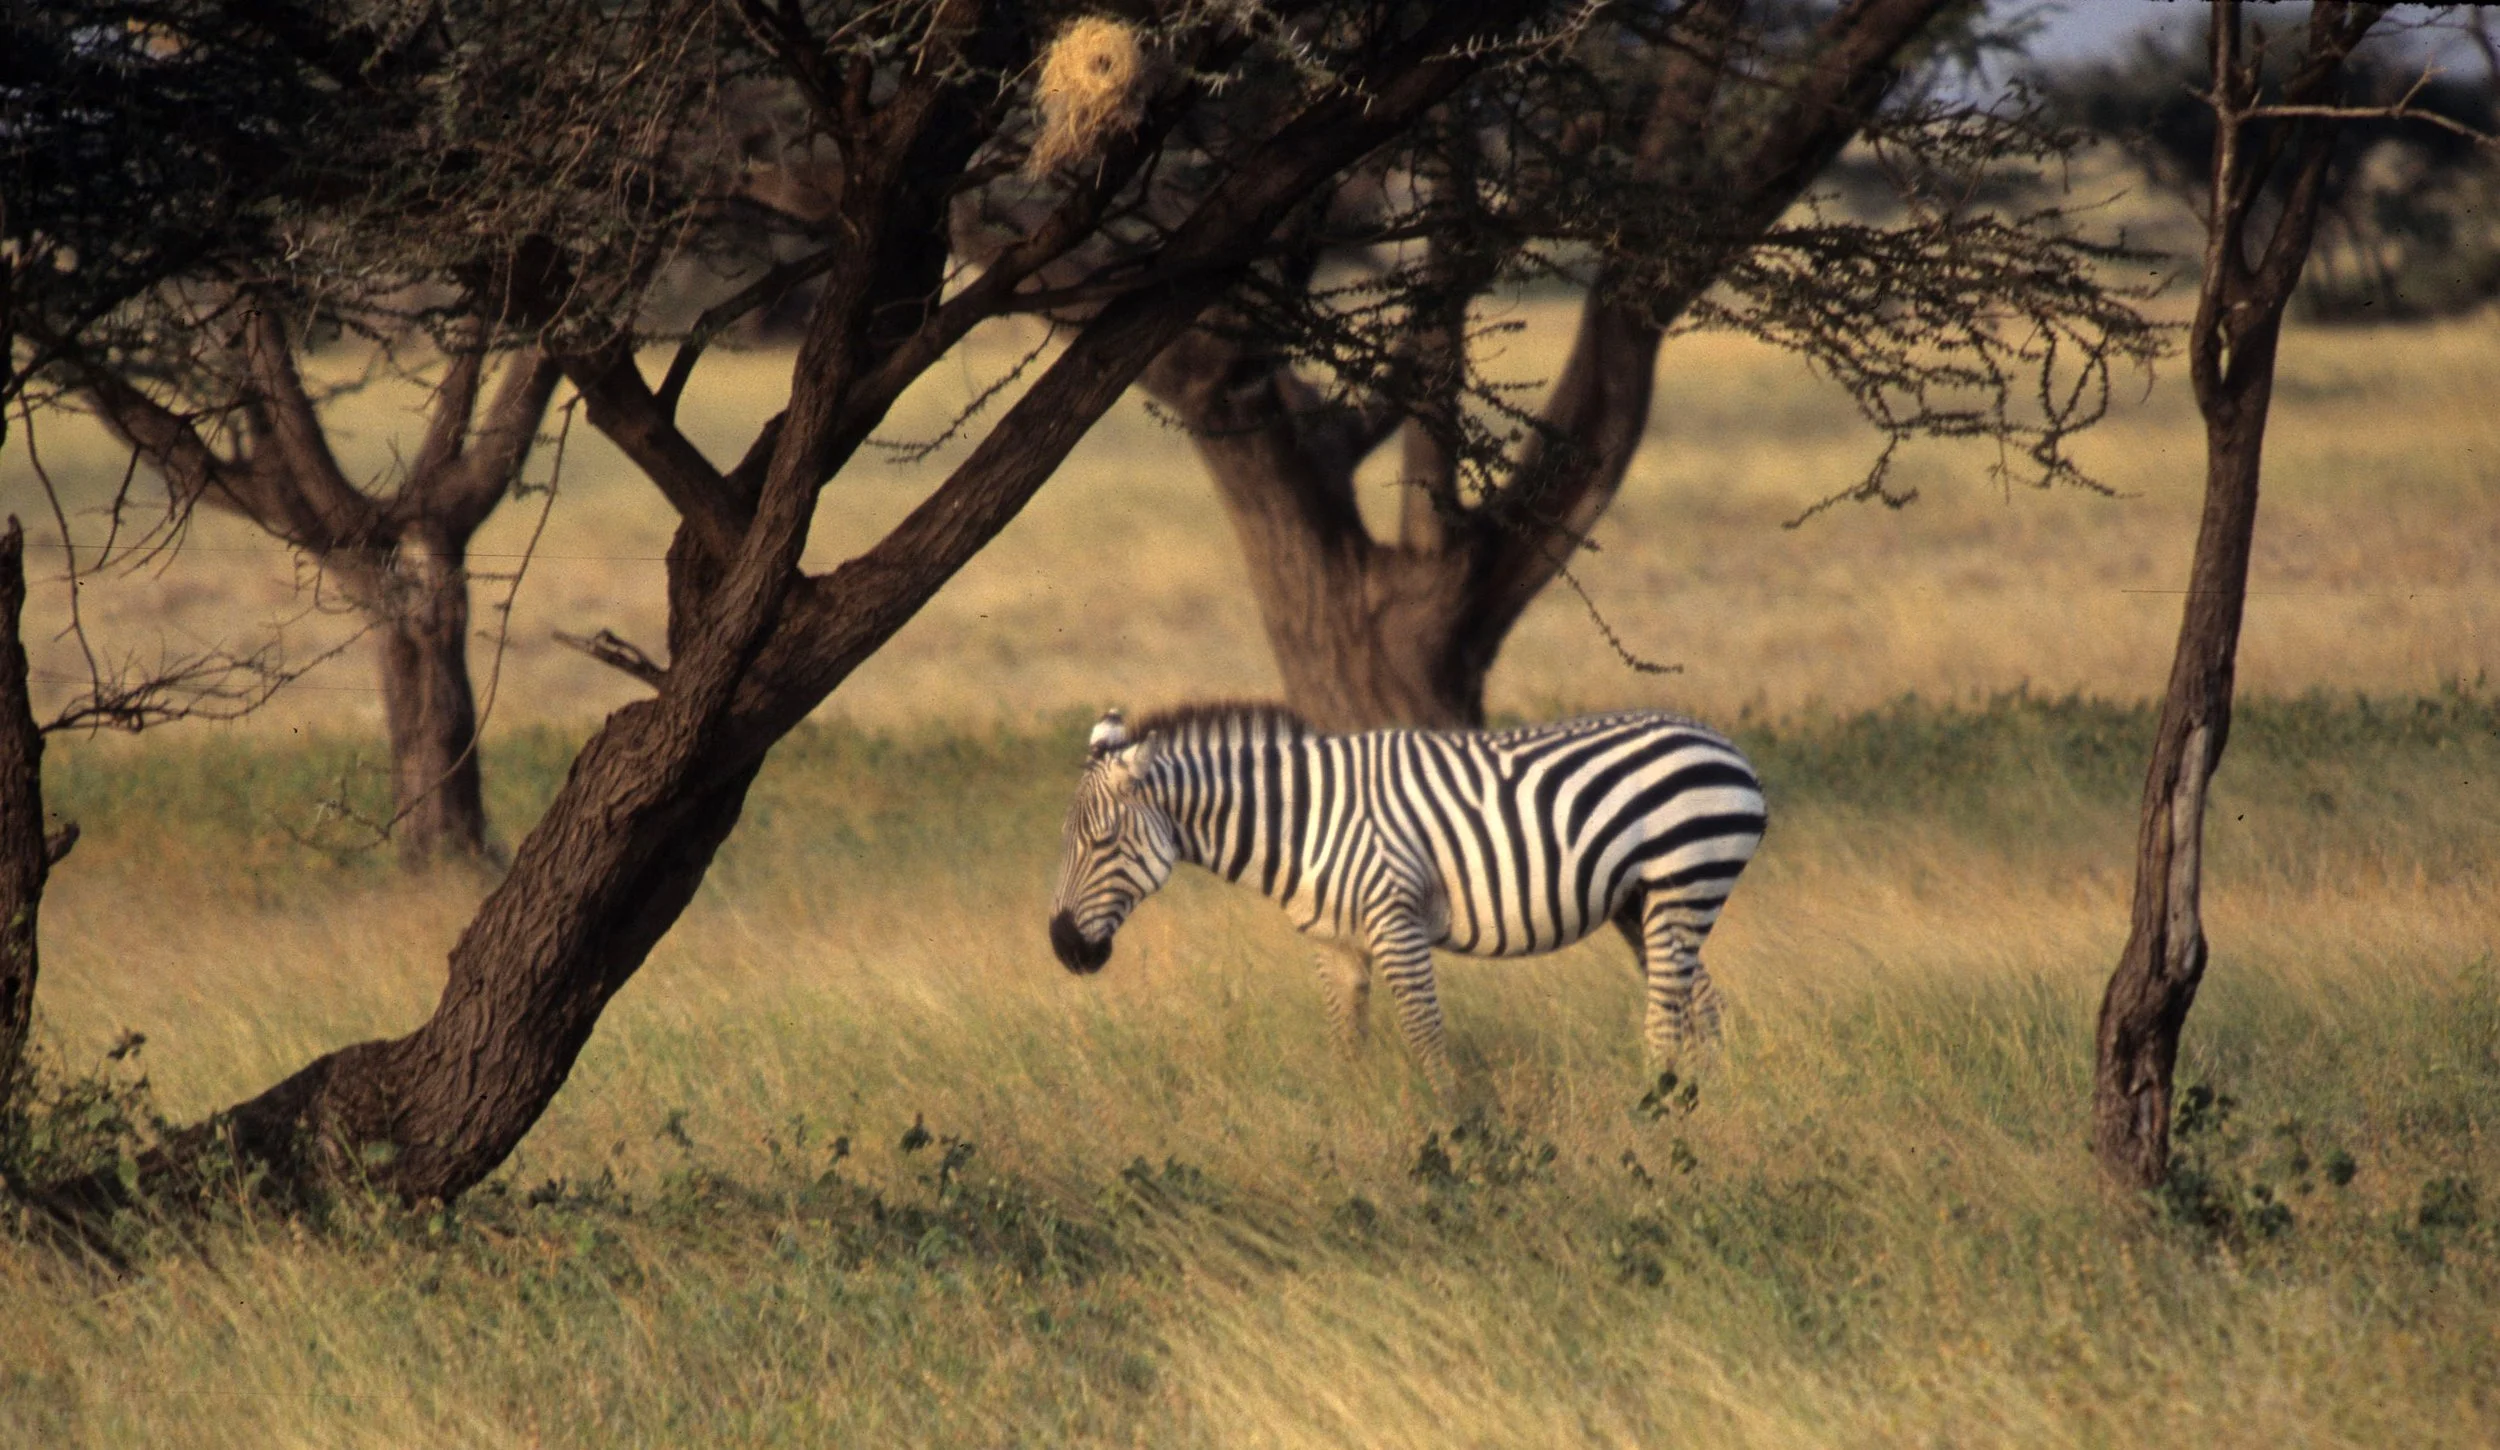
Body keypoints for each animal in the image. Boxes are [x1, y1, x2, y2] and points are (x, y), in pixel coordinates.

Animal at [1046, 703, 1767, 1081]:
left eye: (1102, 842)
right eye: (1066, 840)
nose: (1062, 948)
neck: (1303, 822)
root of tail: (1728, 746)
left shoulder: (1397, 923)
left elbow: (1426, 1039)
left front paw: (1453, 1135)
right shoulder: (1333, 943)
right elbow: (1345, 1044)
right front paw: (1349, 1128)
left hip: (1685, 883)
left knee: (1666, 1016)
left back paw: (1653, 1107)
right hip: (1640, 904)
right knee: (1705, 1005)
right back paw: (1699, 1102)